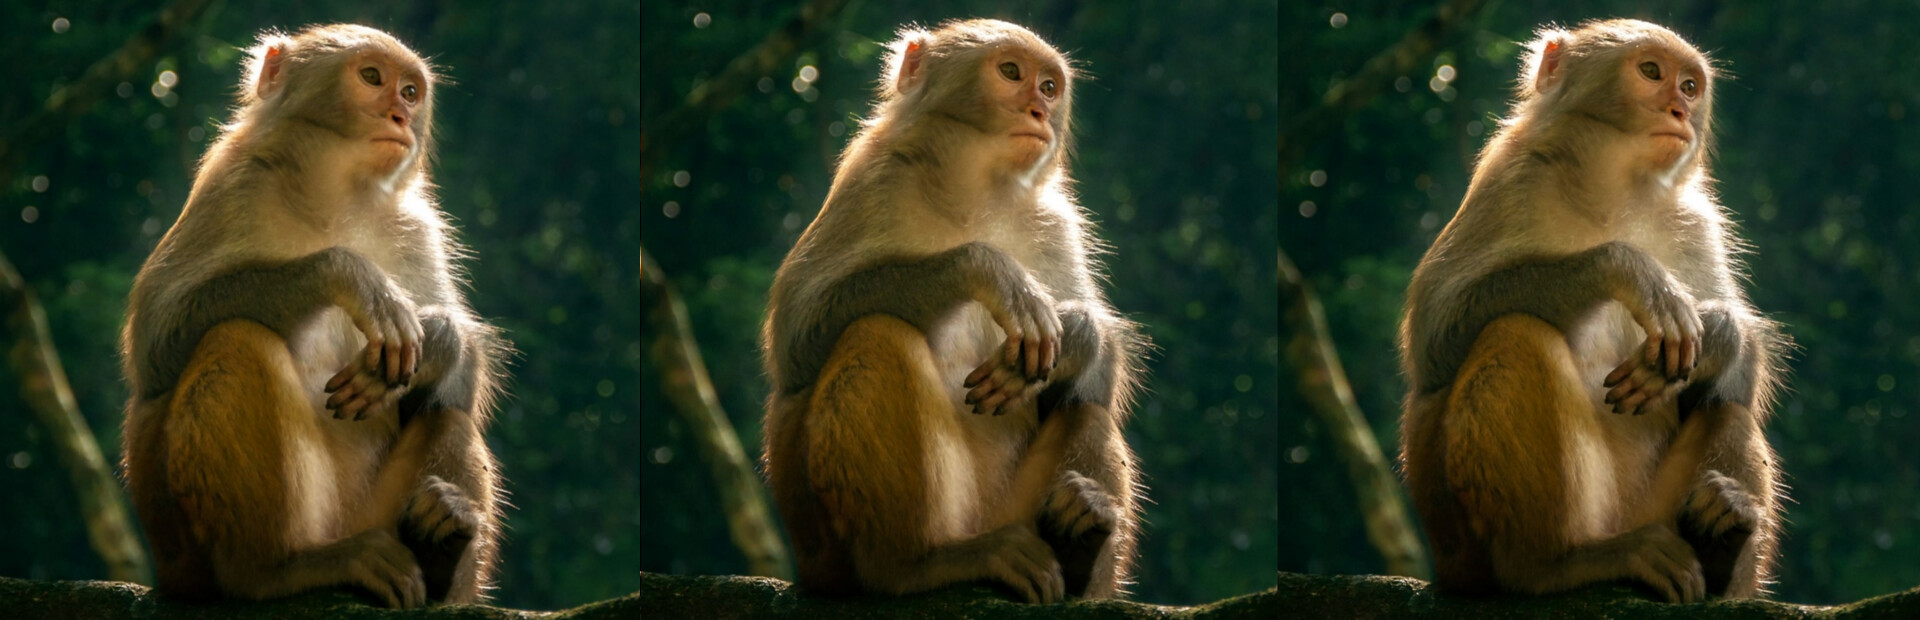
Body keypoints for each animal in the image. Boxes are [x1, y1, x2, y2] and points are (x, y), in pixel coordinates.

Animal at [118, 24, 508, 609]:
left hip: (373, 517)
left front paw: (438, 340)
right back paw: (273, 569)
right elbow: (157, 348)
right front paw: (351, 276)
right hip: (186, 546)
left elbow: (457, 386)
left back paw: (443, 554)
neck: (335, 197)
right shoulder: (232, 186)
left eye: (410, 92)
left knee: (448, 416)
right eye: (371, 77)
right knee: (236, 339)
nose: (399, 116)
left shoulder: (417, 227)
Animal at [757, 19, 1146, 604]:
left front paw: (1077, 335)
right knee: (876, 334)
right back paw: (913, 564)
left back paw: (1081, 549)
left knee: (1087, 412)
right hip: (827, 542)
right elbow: (797, 344)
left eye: (1049, 87)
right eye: (1010, 72)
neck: (974, 191)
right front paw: (990, 271)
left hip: (1012, 512)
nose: (1038, 111)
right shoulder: (872, 181)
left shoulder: (1056, 222)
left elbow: (1093, 381)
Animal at [1396, 19, 1786, 604]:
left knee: (1728, 411)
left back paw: (1722, 549)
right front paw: (1630, 270)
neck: (1614, 191)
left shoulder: (1697, 222)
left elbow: (1735, 381)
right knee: (1515, 333)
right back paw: (1552, 564)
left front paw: (1717, 335)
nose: (1679, 110)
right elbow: (1434, 344)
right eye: (1651, 71)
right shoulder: (1510, 180)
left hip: (1652, 511)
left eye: (1690, 87)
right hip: (1464, 542)